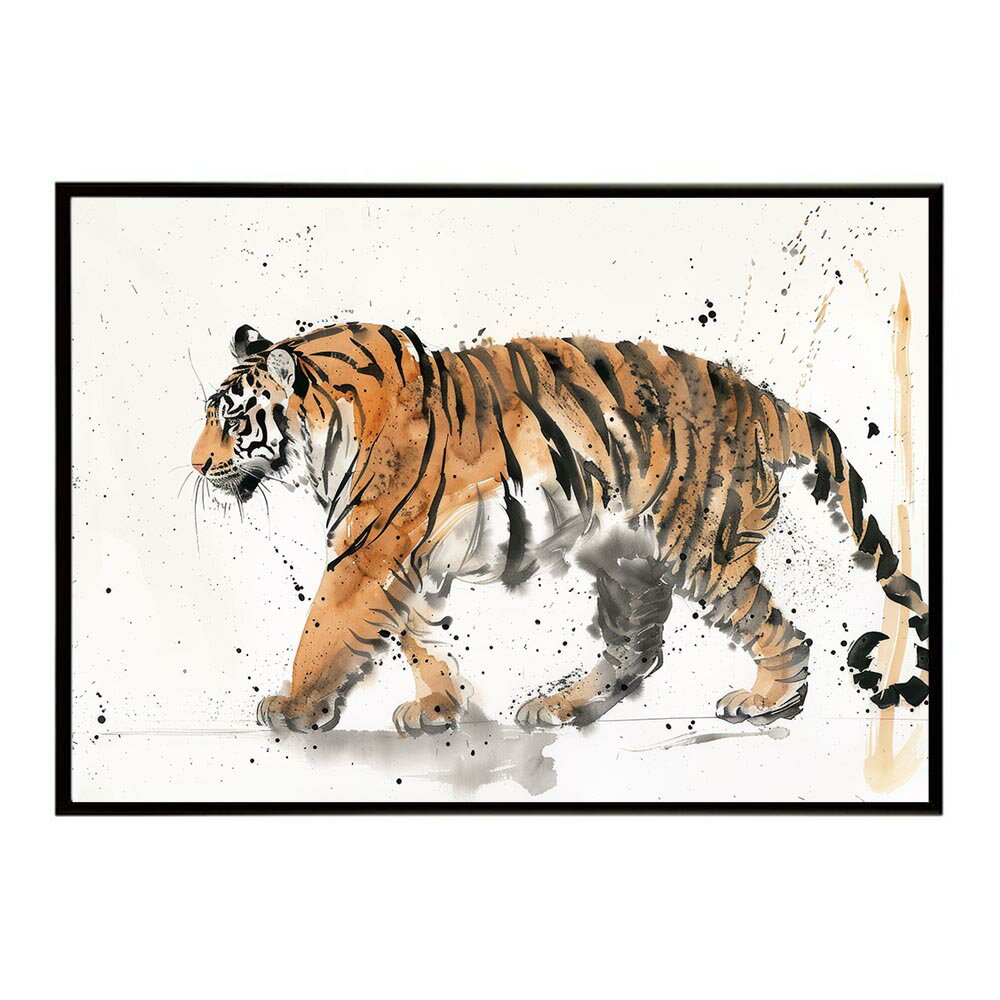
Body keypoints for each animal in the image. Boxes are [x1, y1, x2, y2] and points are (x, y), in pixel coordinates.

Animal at [191, 321, 930, 736]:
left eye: (231, 420)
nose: (195, 464)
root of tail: (762, 397)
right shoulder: (406, 556)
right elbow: (418, 637)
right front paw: (441, 708)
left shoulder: (367, 552)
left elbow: (324, 628)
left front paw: (294, 705)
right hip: (626, 557)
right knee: (637, 652)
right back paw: (560, 707)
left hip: (703, 548)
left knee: (778, 628)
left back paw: (766, 701)